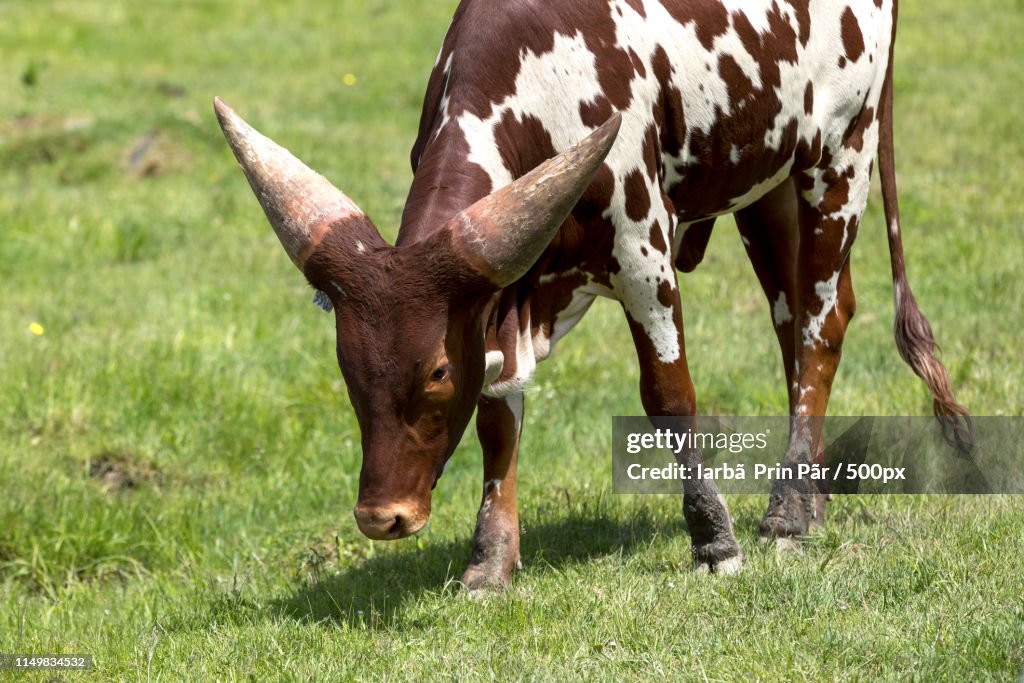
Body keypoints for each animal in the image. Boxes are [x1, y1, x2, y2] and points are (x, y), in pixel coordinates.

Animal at [214, 0, 966, 589]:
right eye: (346, 367)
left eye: (436, 372)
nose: (382, 516)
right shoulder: (499, 293)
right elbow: (498, 414)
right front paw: (490, 561)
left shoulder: (642, 249)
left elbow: (669, 395)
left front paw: (714, 540)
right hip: (766, 179)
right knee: (798, 319)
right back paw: (809, 498)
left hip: (840, 151)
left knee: (821, 322)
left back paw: (785, 512)